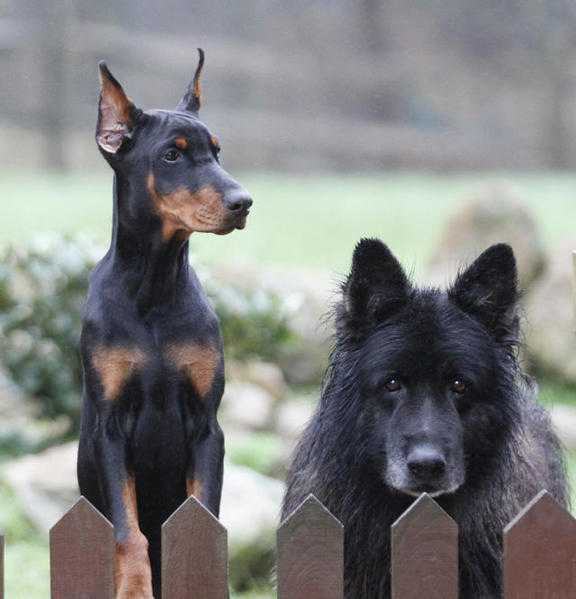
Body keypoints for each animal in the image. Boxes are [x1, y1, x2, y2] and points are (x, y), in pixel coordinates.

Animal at [77, 52, 251, 599]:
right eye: (172, 155)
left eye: (216, 151)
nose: (244, 202)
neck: (153, 290)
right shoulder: (110, 428)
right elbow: (127, 531)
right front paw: (135, 588)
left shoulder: (206, 424)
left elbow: (202, 516)